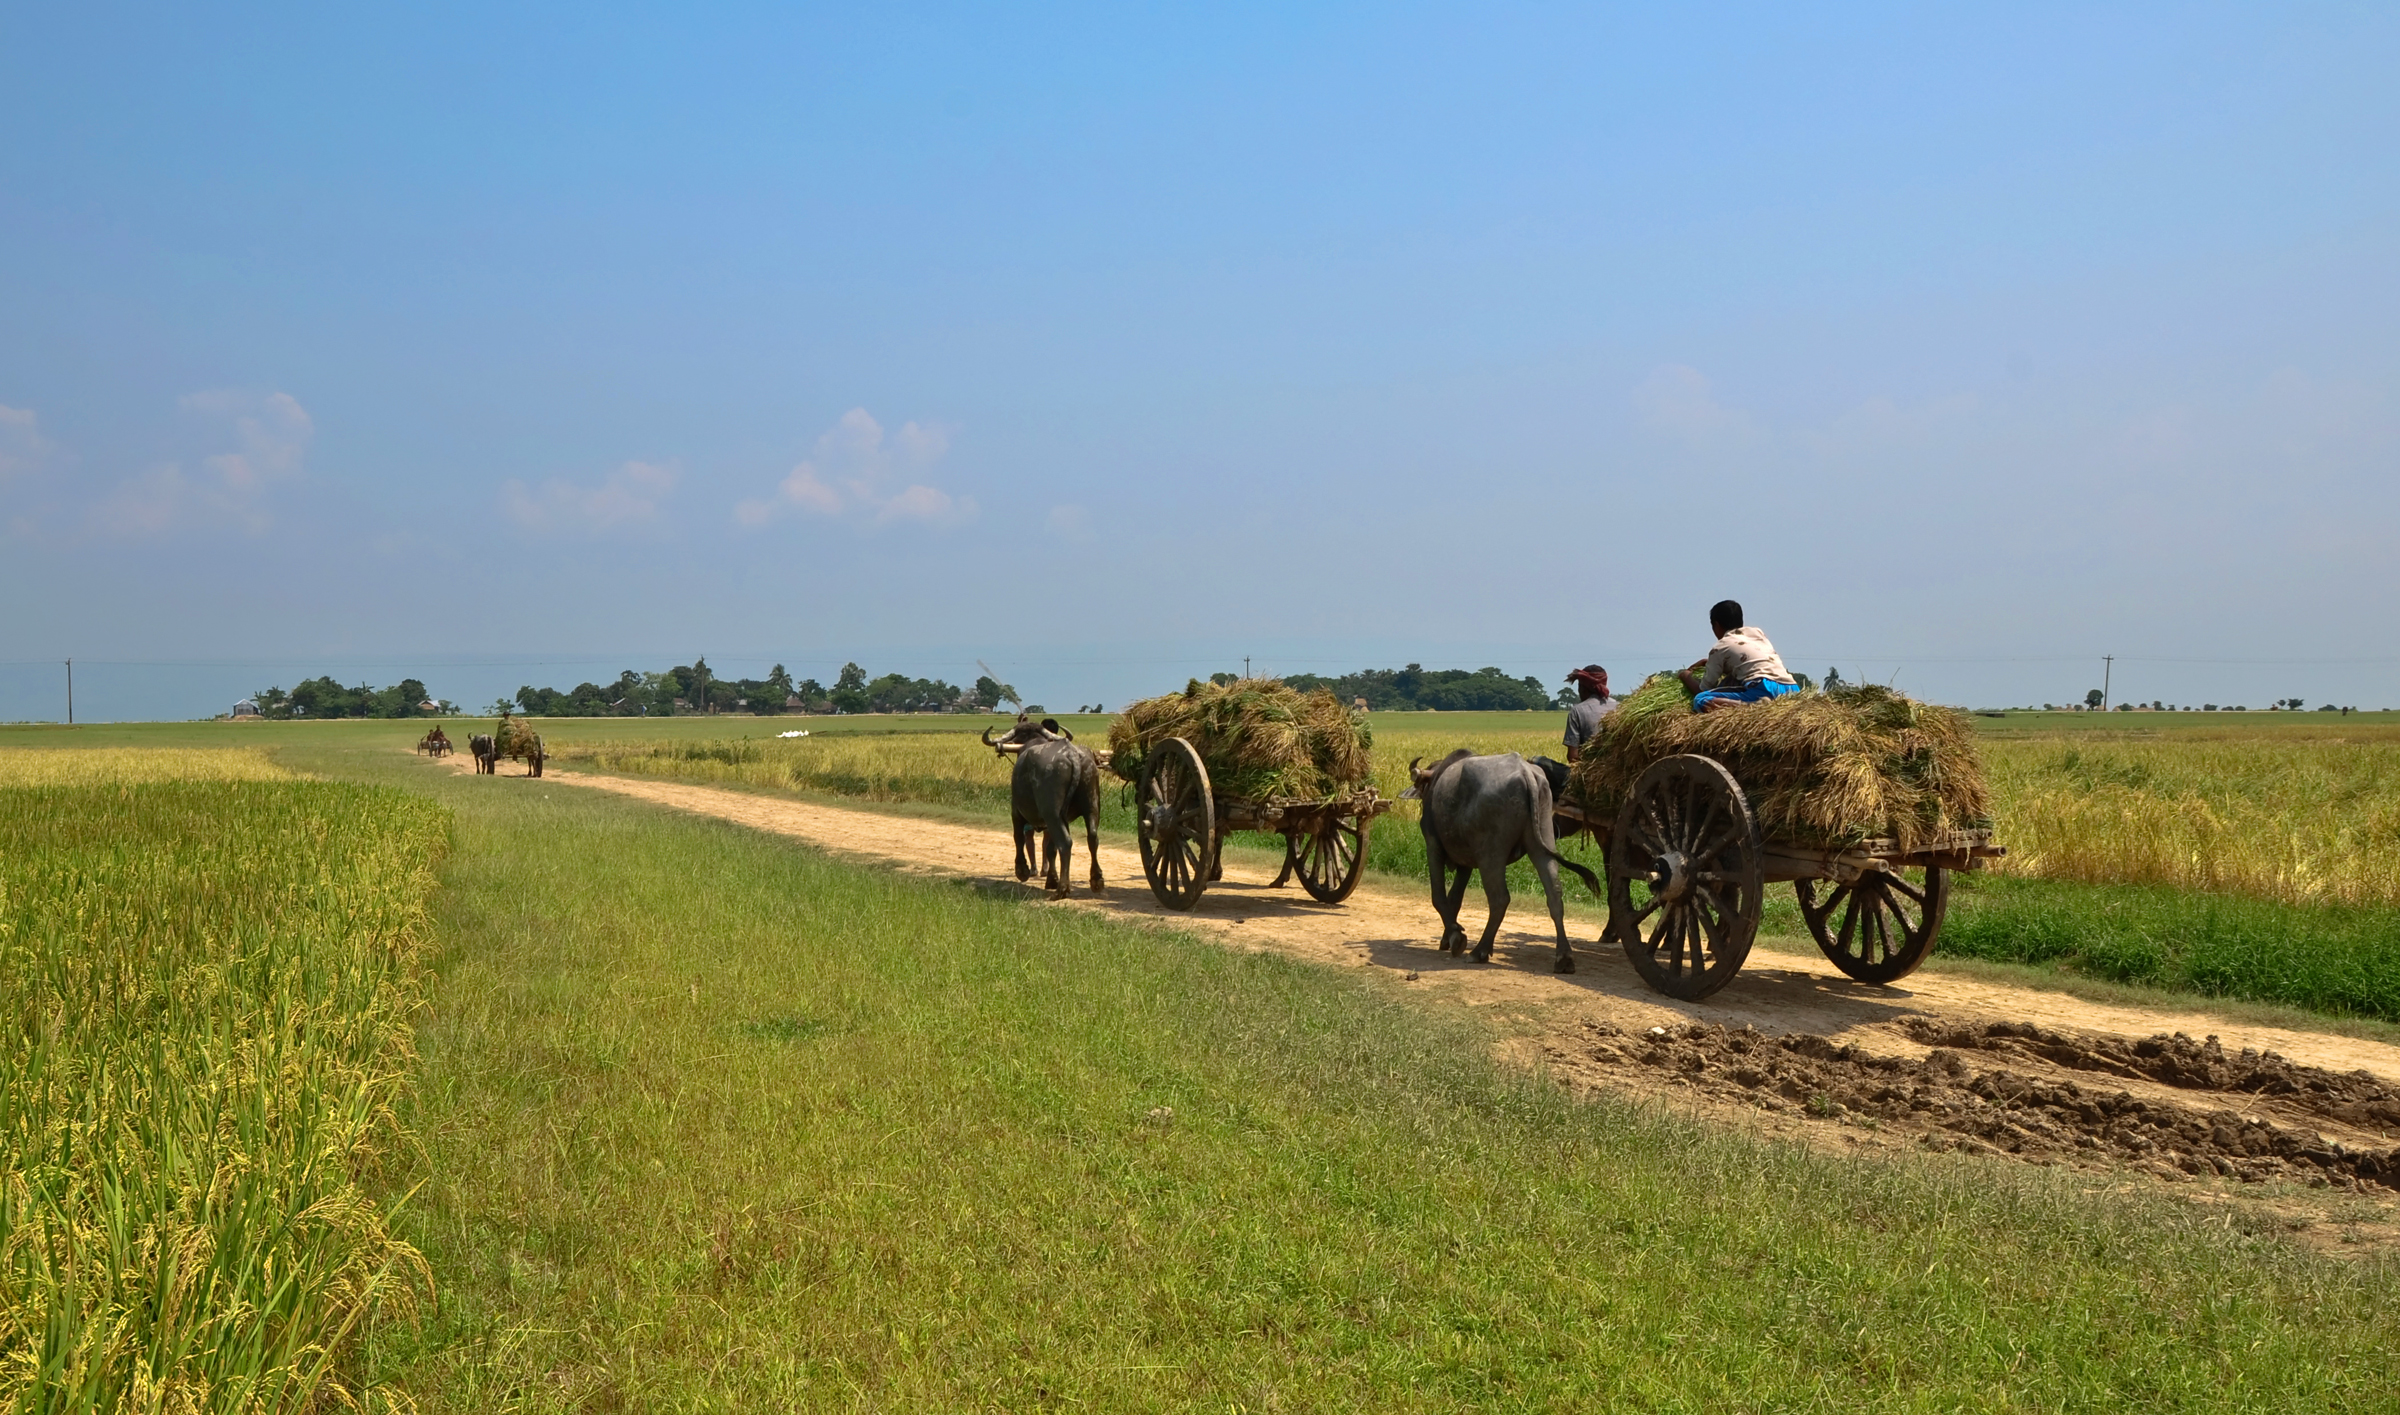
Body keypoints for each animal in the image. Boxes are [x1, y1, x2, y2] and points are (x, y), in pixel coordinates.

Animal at [1401, 753, 1593, 978]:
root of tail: (1525, 772)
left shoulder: (1433, 845)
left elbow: (1439, 897)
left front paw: (1456, 937)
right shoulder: (1466, 862)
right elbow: (1455, 899)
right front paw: (1447, 937)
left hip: (1491, 855)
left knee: (1500, 899)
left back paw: (1480, 951)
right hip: (1542, 841)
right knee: (1554, 894)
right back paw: (1564, 958)